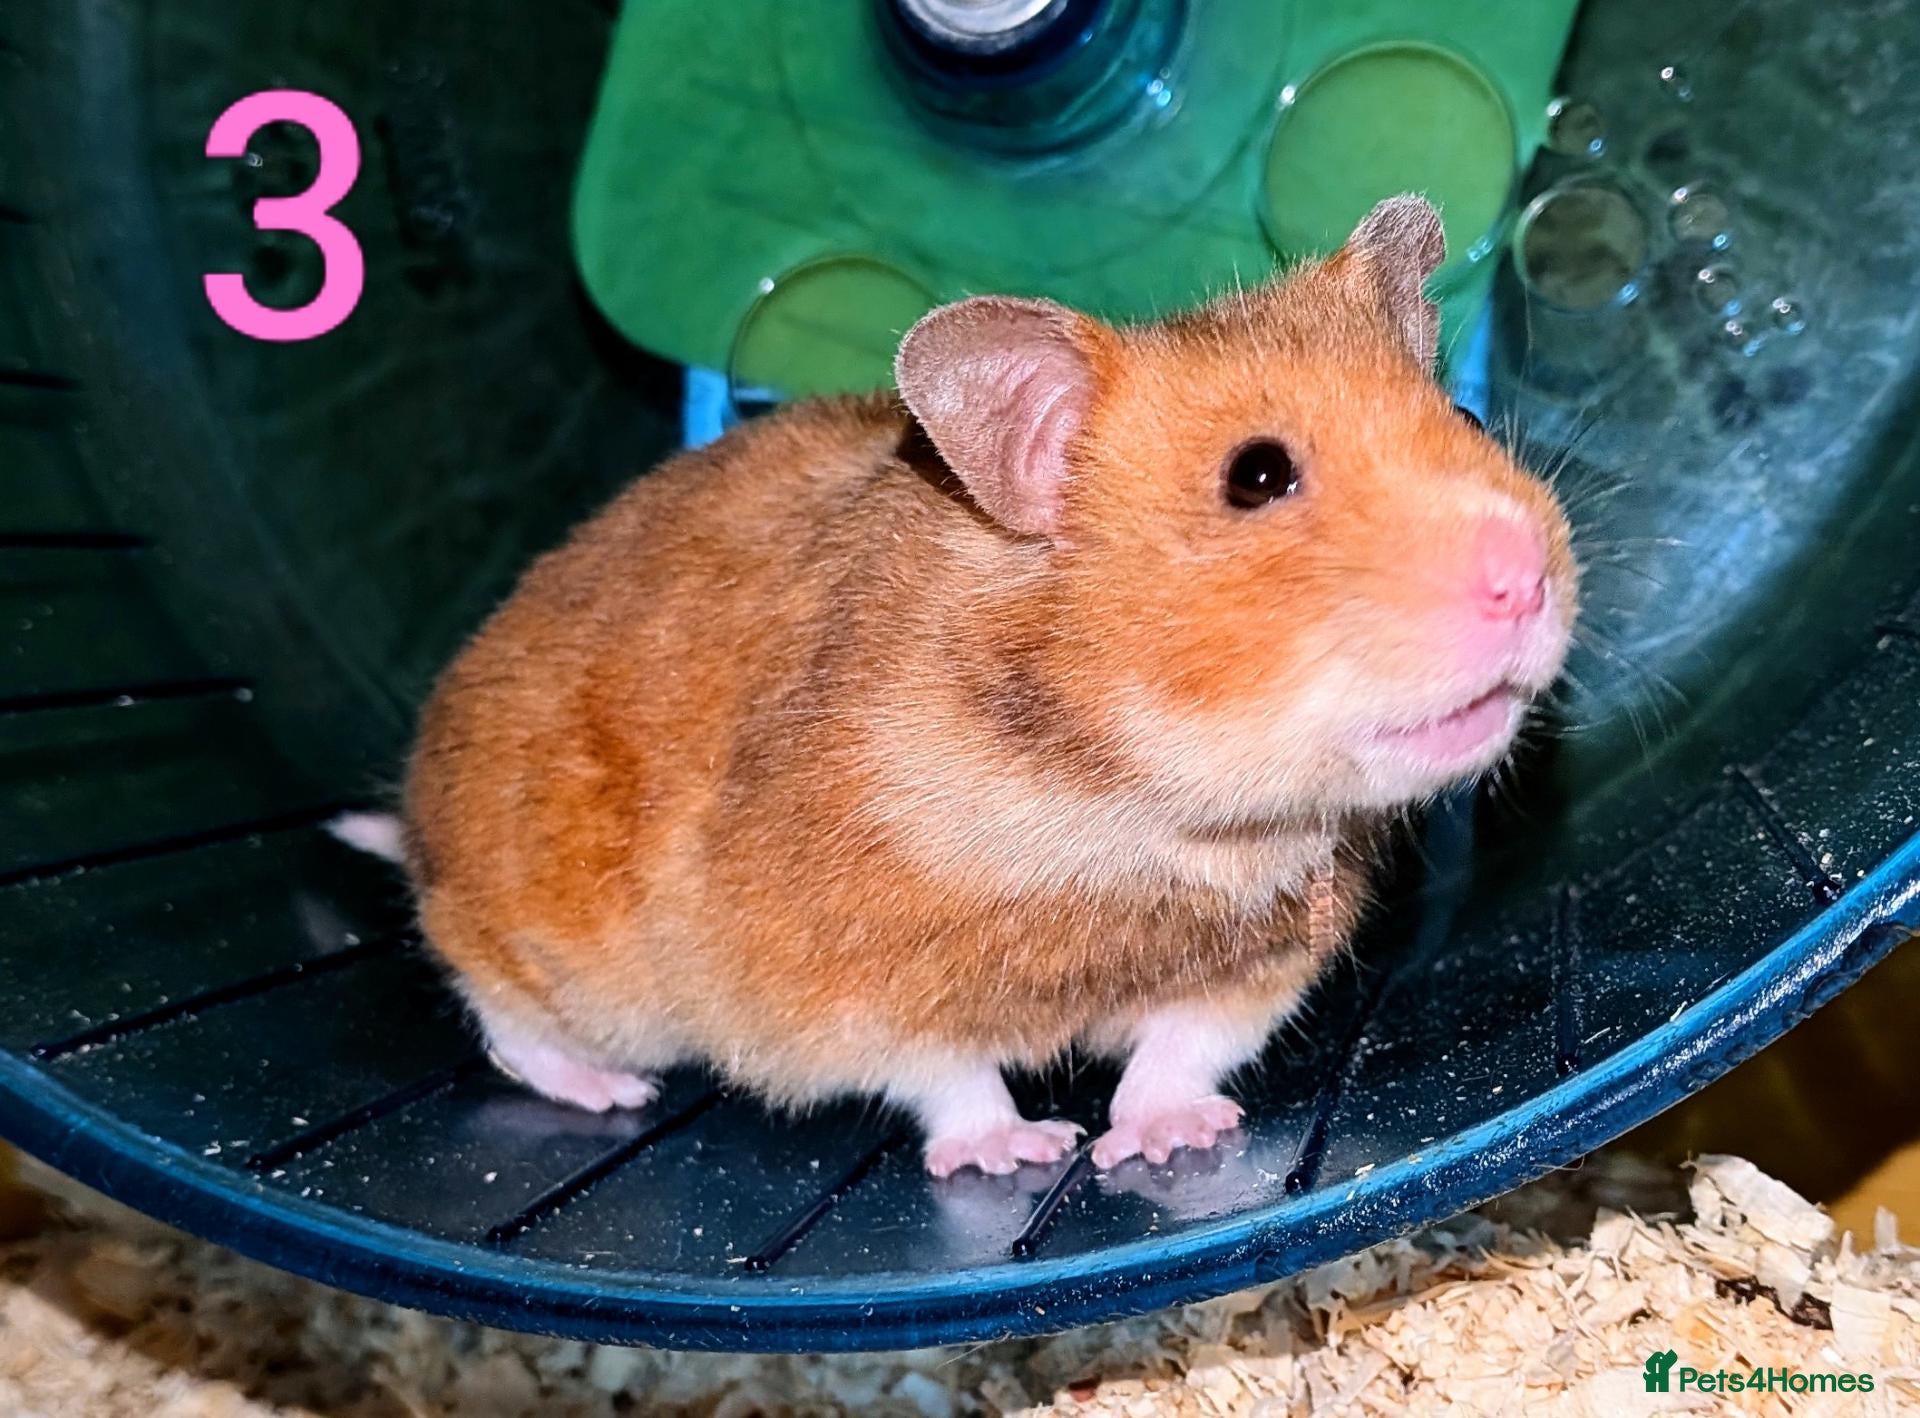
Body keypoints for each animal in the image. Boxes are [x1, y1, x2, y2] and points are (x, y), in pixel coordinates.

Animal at [387, 195, 1576, 1177]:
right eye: (1258, 475)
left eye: (1468, 420)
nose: (1527, 578)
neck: (1126, 801)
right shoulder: (841, 979)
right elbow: (944, 1076)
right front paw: (1019, 1156)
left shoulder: (1262, 961)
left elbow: (1180, 1051)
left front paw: (1166, 1144)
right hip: (550, 947)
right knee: (500, 1014)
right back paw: (611, 1091)